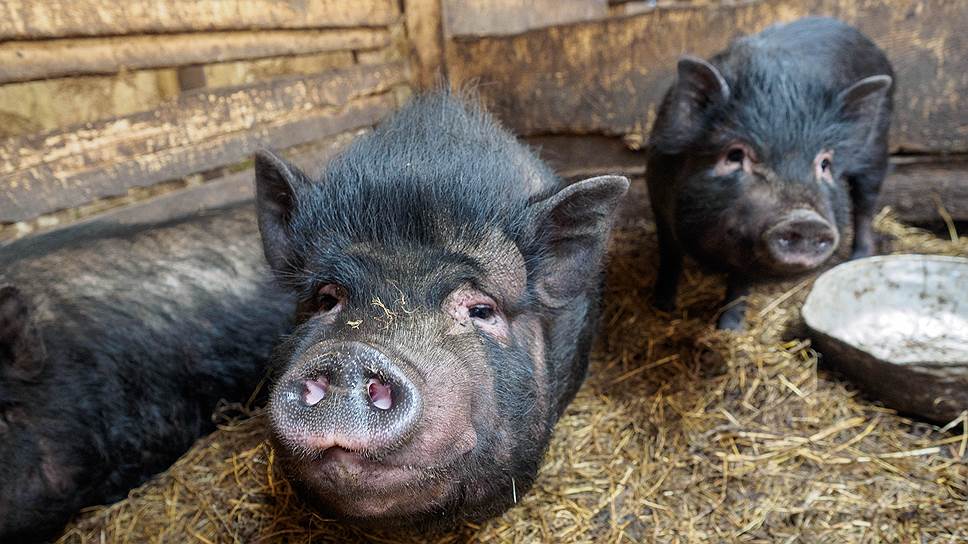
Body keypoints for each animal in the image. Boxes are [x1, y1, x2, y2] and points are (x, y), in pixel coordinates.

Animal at [648, 17, 896, 330]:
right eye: (734, 155)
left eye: (825, 164)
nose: (805, 219)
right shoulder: (656, 193)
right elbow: (669, 254)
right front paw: (661, 307)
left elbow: (741, 281)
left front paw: (729, 329)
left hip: (876, 152)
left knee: (865, 206)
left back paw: (857, 258)